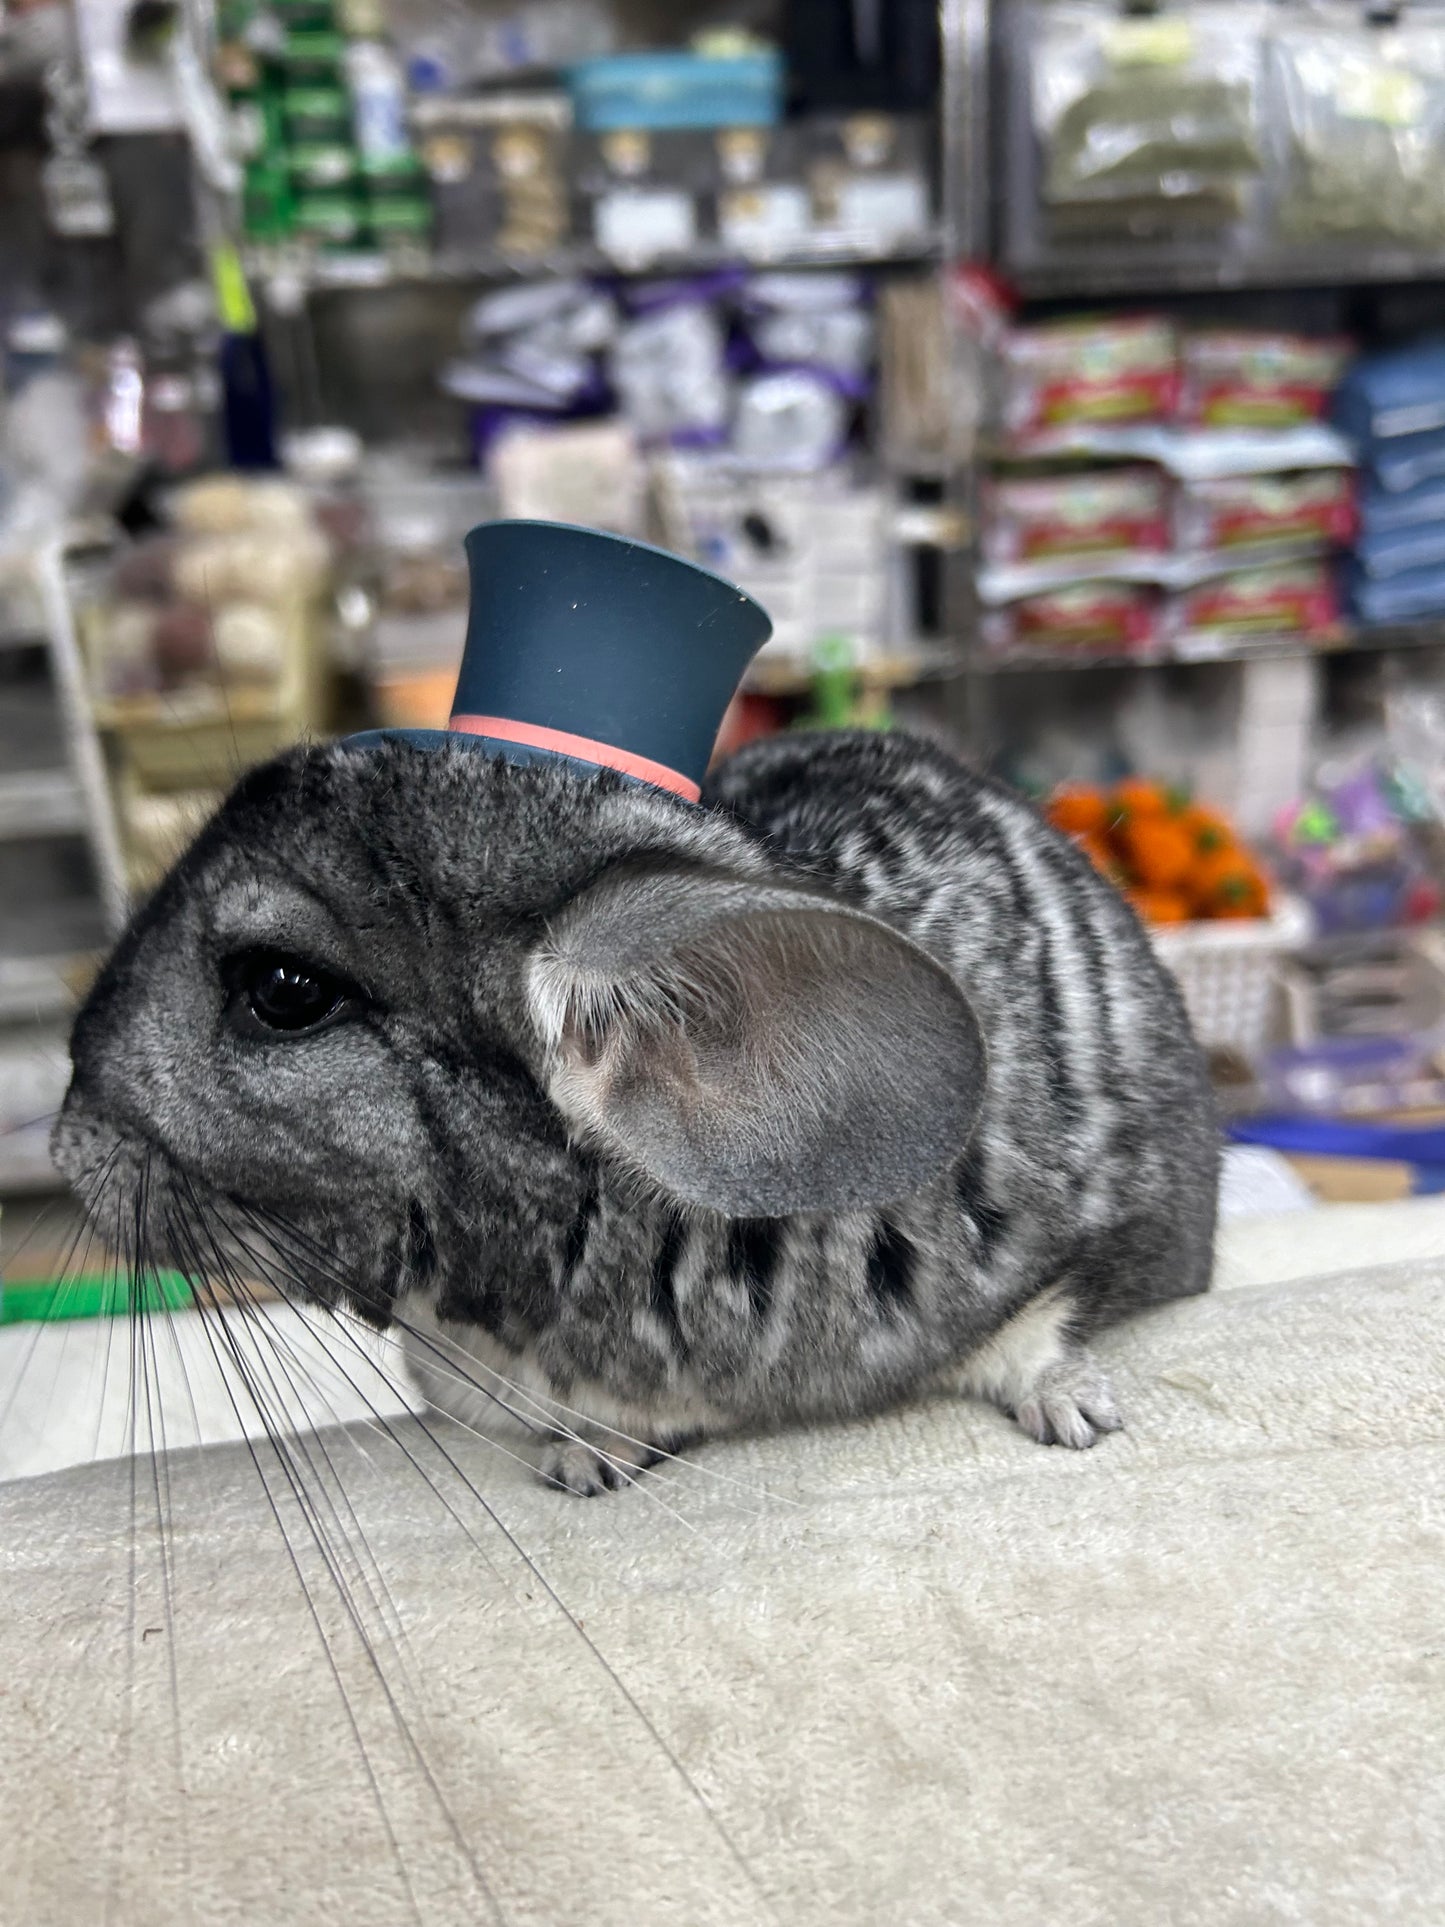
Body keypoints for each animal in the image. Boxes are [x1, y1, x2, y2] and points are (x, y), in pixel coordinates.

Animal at [52, 726, 1218, 1495]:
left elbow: (1036, 1330)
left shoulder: (1054, 1256)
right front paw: (582, 1462)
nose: (63, 1147)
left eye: (283, 989)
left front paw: (1078, 1414)